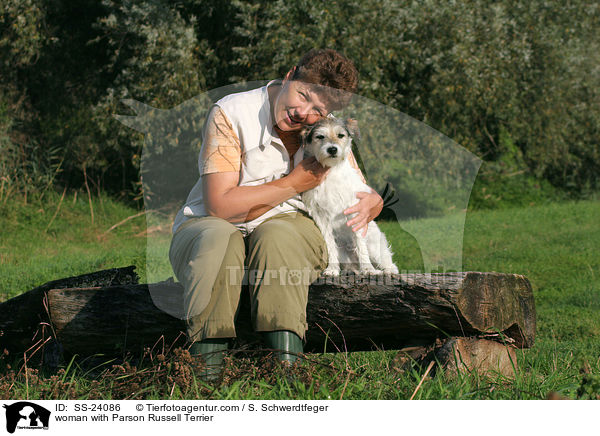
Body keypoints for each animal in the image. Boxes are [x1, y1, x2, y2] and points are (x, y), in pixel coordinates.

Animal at [300, 116, 398, 276]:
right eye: (320, 136)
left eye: (341, 135)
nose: (332, 149)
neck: (331, 171)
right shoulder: (320, 216)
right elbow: (330, 245)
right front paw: (332, 269)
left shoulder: (355, 209)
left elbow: (360, 244)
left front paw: (368, 269)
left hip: (374, 245)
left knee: (385, 257)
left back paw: (388, 269)